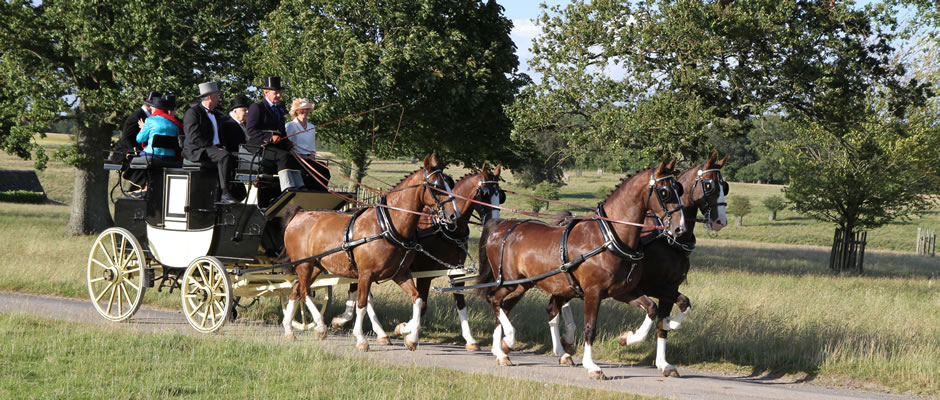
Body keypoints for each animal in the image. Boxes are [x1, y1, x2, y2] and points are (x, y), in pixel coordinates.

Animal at [282, 153, 458, 350]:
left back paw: (289, 329)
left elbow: (417, 299)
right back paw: (320, 326)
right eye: (436, 185)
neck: (386, 226)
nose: (453, 215)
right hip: (304, 265)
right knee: (305, 292)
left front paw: (411, 338)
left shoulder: (401, 273)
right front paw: (361, 339)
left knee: (296, 290)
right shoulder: (365, 275)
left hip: (316, 266)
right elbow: (361, 305)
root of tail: (300, 214)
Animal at [332, 165, 506, 350]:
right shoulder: (425, 274)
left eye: (500, 195)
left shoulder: (456, 273)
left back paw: (373, 330)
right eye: (485, 193)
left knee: (362, 292)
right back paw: (351, 321)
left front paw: (470, 340)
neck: (444, 229)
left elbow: (460, 304)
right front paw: (407, 331)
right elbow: (422, 304)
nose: (494, 222)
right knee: (360, 292)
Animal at [478, 158, 684, 380]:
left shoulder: (623, 291)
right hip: (510, 282)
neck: (608, 237)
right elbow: (590, 327)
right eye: (664, 191)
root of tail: (501, 227)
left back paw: (502, 350)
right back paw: (506, 343)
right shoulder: (593, 292)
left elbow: (652, 309)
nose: (680, 228)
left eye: (679, 188)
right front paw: (592, 366)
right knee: (494, 300)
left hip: (522, 285)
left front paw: (628, 338)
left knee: (503, 305)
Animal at [548, 152, 732, 376]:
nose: (720, 221)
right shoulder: (645, 286)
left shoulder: (670, 287)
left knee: (555, 305)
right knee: (556, 306)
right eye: (709, 186)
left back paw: (563, 346)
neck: (666, 240)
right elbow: (661, 311)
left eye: (725, 186)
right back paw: (564, 344)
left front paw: (664, 361)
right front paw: (629, 338)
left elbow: (674, 312)